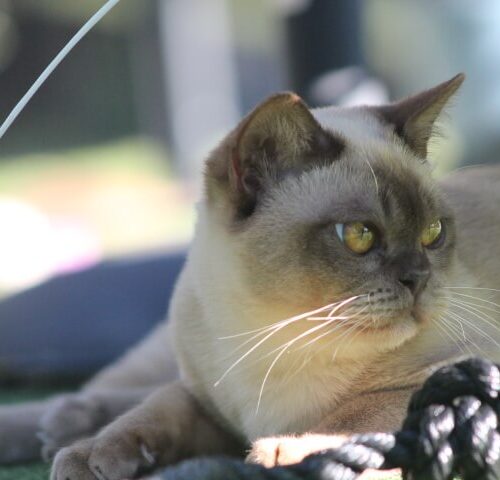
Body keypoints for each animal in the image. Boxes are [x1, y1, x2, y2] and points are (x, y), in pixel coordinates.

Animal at [0, 72, 500, 480]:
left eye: (433, 233)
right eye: (359, 235)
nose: (419, 279)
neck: (273, 342)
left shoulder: (456, 370)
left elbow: (360, 414)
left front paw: (285, 454)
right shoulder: (207, 405)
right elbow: (156, 410)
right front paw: (91, 456)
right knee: (130, 389)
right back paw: (63, 427)